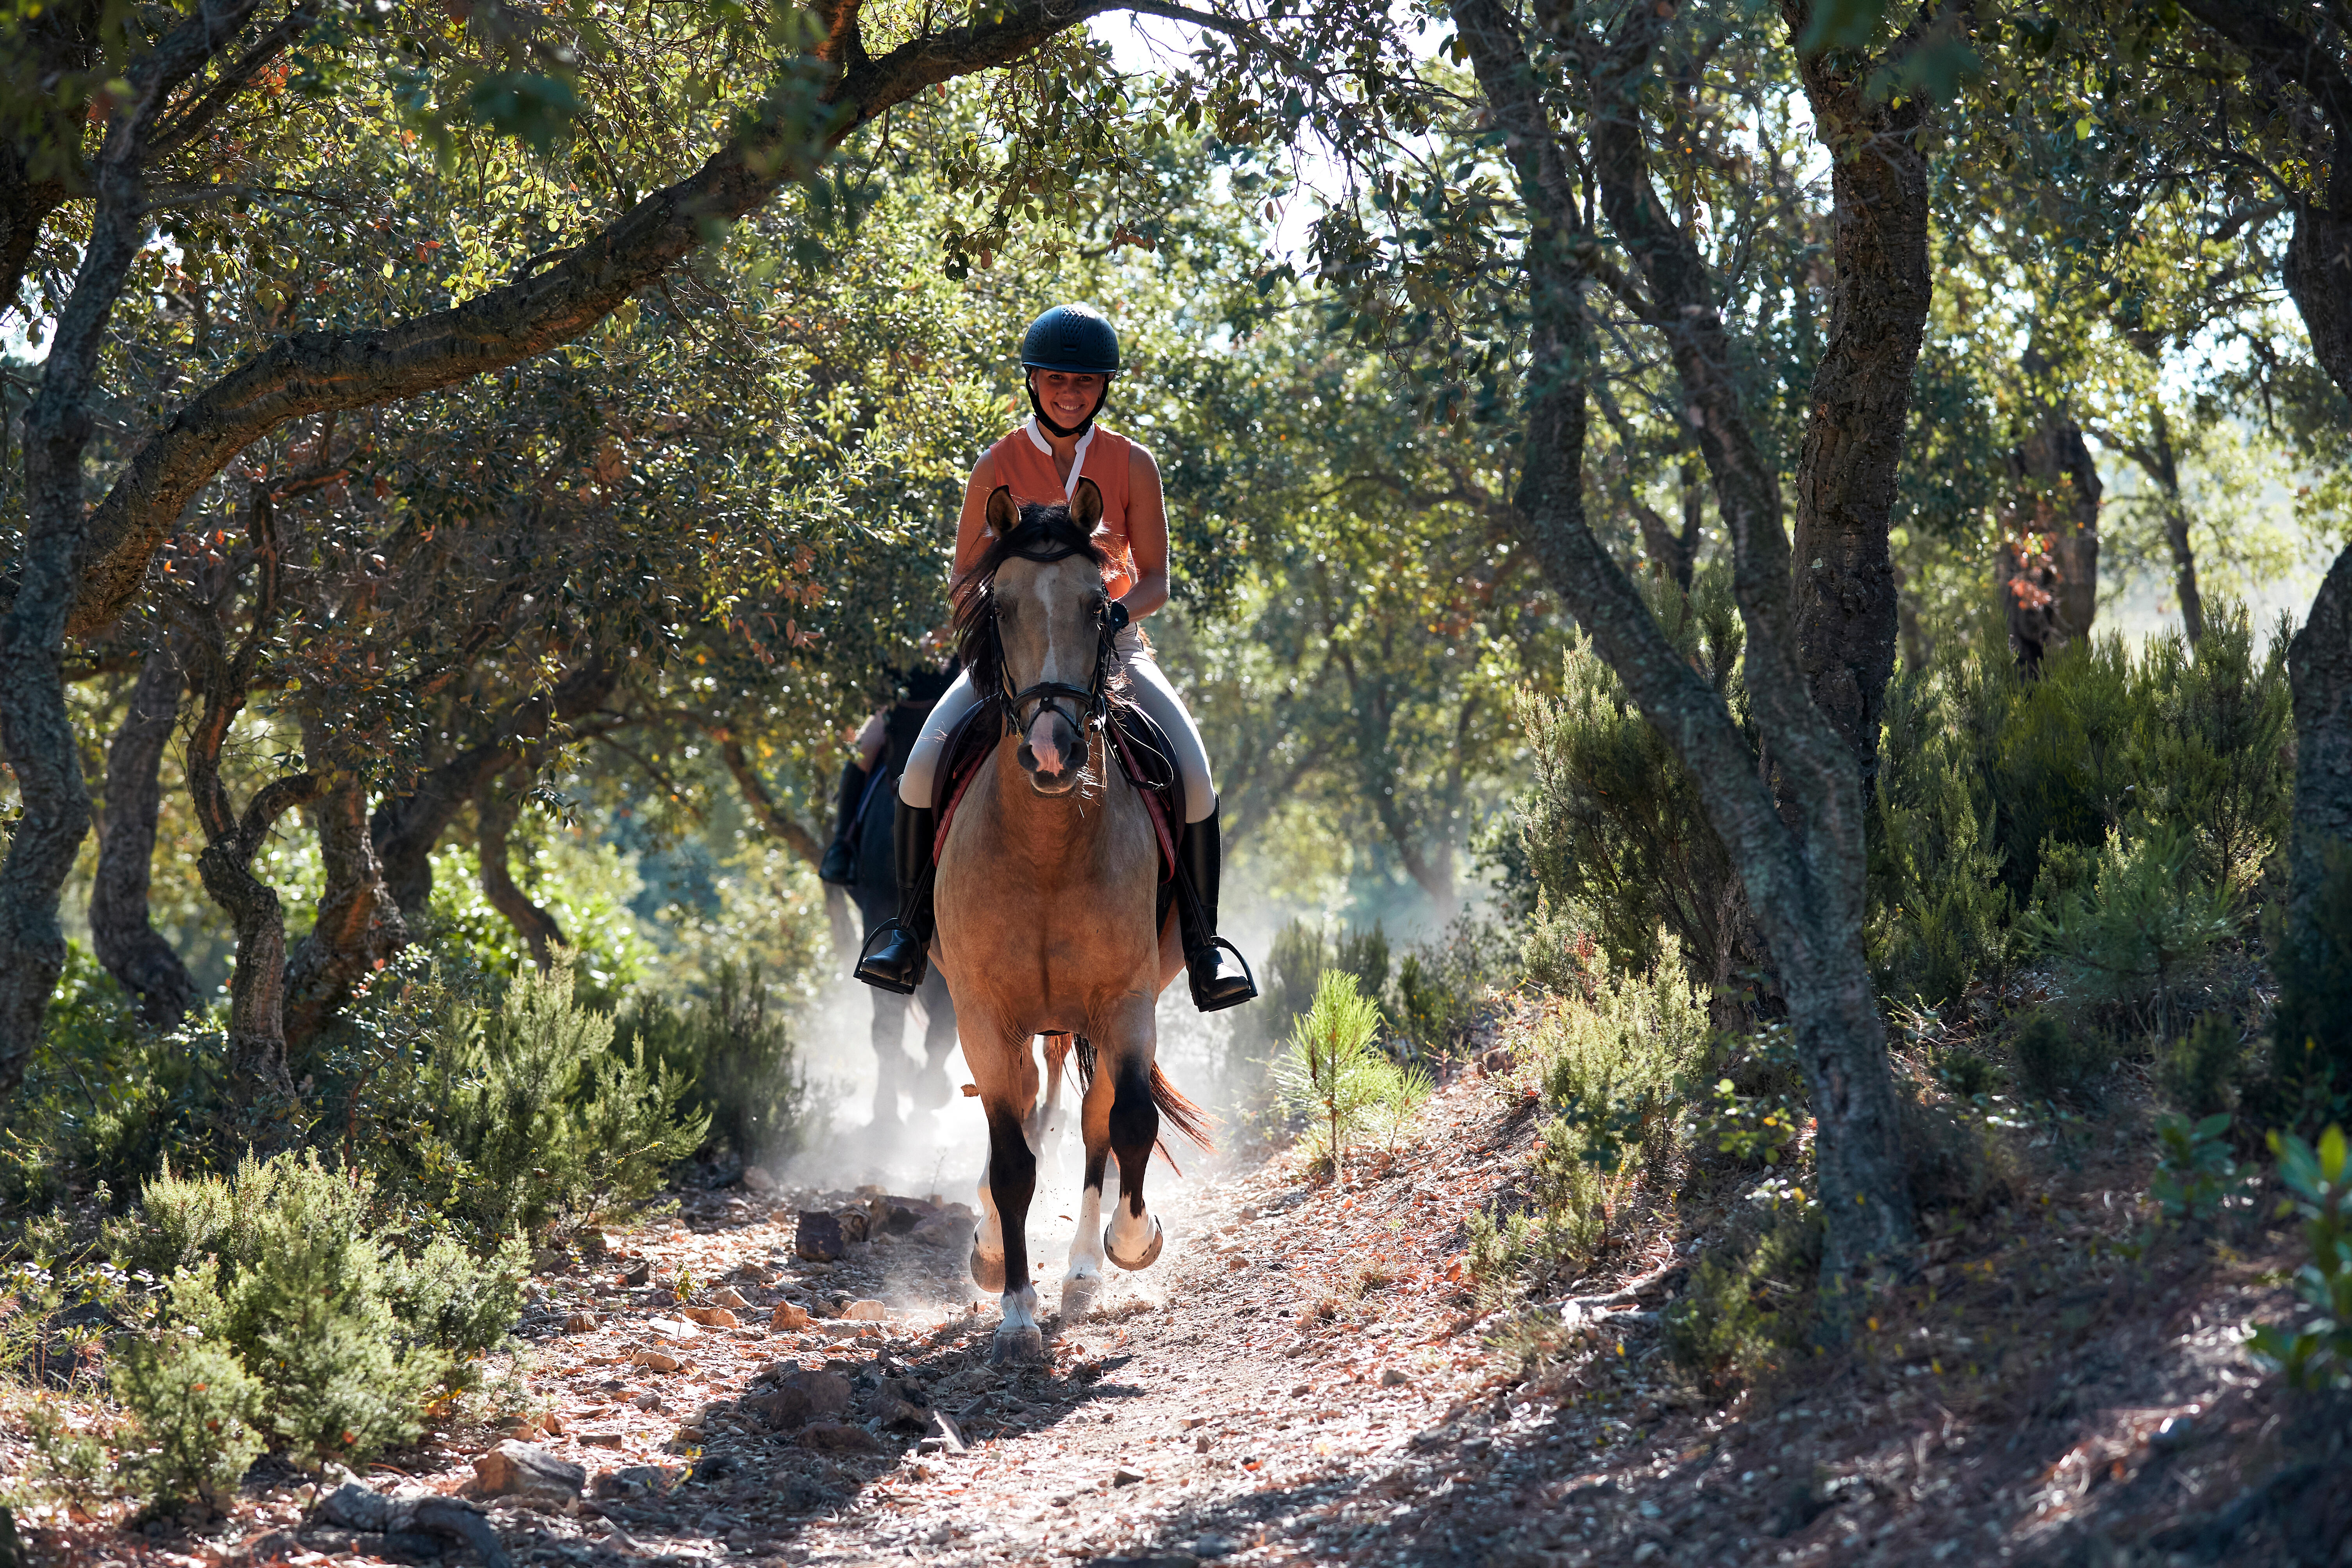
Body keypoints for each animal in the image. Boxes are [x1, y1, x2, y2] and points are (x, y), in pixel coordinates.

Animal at [931, 484, 1213, 1363]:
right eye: (1000, 603)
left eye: (1099, 606)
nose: (1053, 751)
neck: (1045, 849)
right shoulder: (984, 1016)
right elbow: (1012, 1160)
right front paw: (1015, 1307)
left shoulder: (1124, 1003)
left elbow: (1127, 1121)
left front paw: (1130, 1243)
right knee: (1019, 1119)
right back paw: (994, 1250)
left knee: (1092, 1124)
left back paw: (1086, 1267)